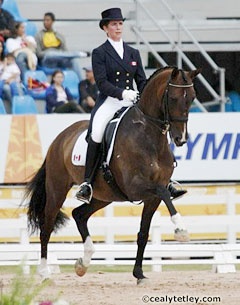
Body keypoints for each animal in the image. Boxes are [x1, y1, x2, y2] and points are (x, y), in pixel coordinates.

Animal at [24, 66, 201, 282]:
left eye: (192, 98)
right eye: (174, 98)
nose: (181, 139)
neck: (150, 137)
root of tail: (60, 137)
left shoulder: (151, 198)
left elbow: (144, 233)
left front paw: (139, 273)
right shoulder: (135, 188)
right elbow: (163, 192)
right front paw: (181, 229)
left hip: (104, 196)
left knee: (79, 215)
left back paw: (83, 263)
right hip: (57, 189)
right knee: (47, 226)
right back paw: (44, 273)